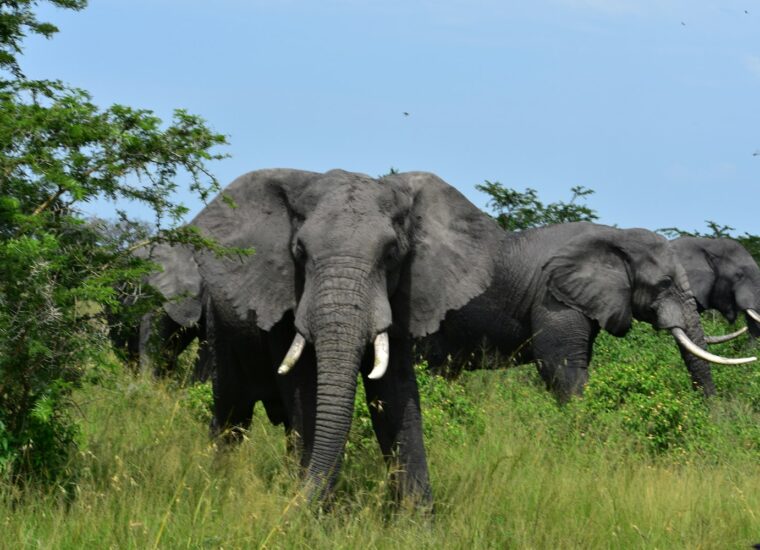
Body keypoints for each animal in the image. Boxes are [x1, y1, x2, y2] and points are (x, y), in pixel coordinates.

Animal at [177, 168, 501, 506]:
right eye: (300, 252)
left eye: (391, 254)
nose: (299, 505)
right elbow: (307, 391)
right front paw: (311, 511)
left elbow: (396, 395)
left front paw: (418, 516)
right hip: (219, 326)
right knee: (231, 411)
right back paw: (217, 483)